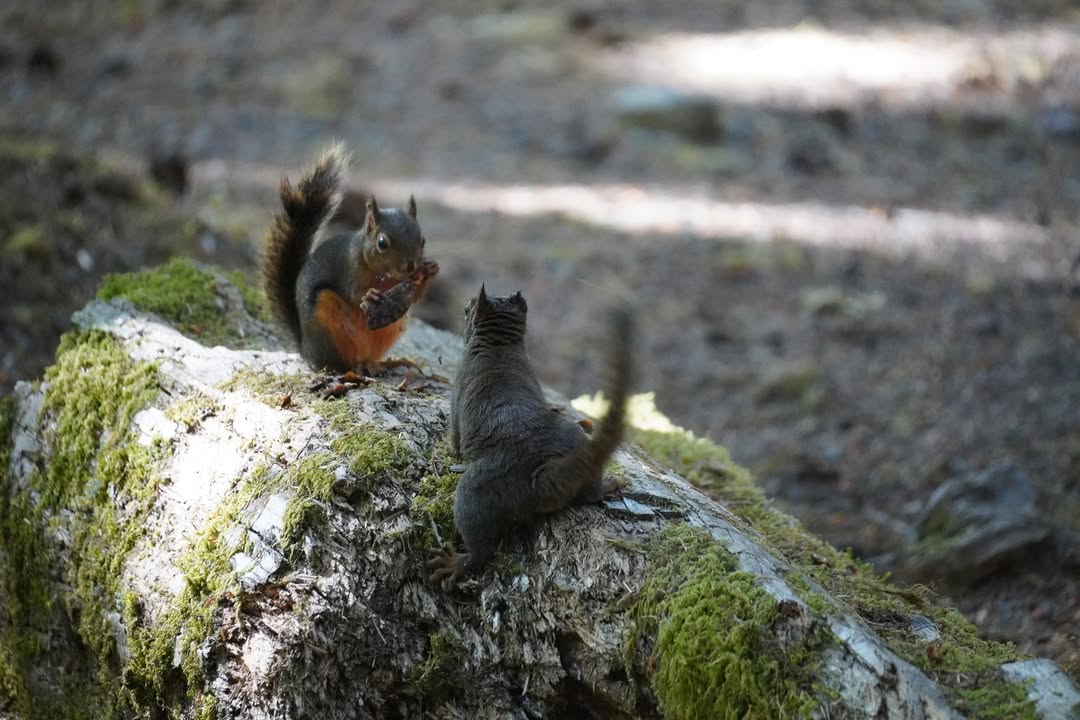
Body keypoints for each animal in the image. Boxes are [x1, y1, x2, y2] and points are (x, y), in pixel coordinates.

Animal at [260, 143, 439, 373]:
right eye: (382, 243)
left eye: (423, 239)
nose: (410, 267)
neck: (387, 276)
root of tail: (306, 350)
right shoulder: (349, 268)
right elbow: (354, 294)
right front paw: (370, 295)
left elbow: (414, 296)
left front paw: (430, 270)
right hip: (327, 324)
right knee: (341, 364)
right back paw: (354, 368)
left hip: (389, 329)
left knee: (368, 357)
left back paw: (385, 363)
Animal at [428, 286, 632, 589]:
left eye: (467, 309)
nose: (465, 308)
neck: (500, 347)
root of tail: (545, 472)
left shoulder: (457, 390)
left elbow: (453, 437)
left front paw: (445, 447)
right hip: (578, 443)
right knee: (590, 493)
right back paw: (610, 484)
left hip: (477, 491)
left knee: (482, 550)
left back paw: (457, 563)